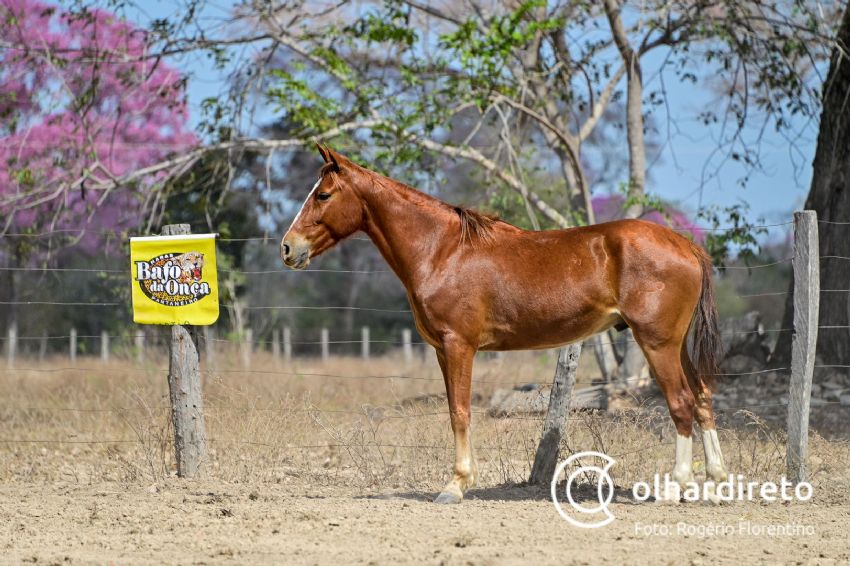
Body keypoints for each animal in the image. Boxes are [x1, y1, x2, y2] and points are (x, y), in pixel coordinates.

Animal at [282, 146, 724, 506]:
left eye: (323, 194)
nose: (288, 248)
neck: (442, 250)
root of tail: (687, 245)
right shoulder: (442, 350)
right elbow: (454, 409)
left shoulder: (459, 345)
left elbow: (460, 412)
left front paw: (455, 486)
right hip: (677, 346)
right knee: (702, 398)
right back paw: (717, 483)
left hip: (657, 344)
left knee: (681, 403)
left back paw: (676, 486)